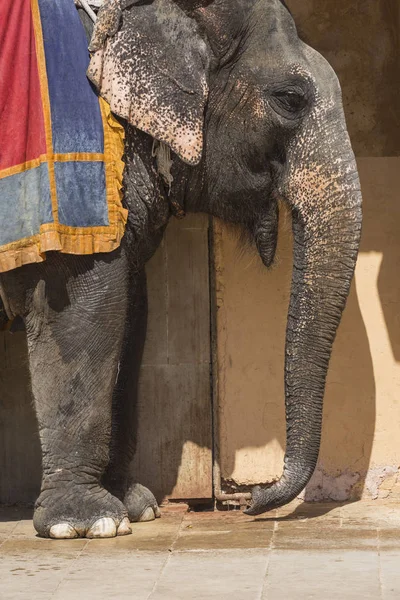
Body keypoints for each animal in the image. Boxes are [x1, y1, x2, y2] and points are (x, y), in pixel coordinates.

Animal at [0, 0, 362, 540]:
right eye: (291, 100)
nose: (252, 499)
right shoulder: (72, 173)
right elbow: (85, 306)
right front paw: (88, 523)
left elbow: (130, 309)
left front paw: (136, 506)